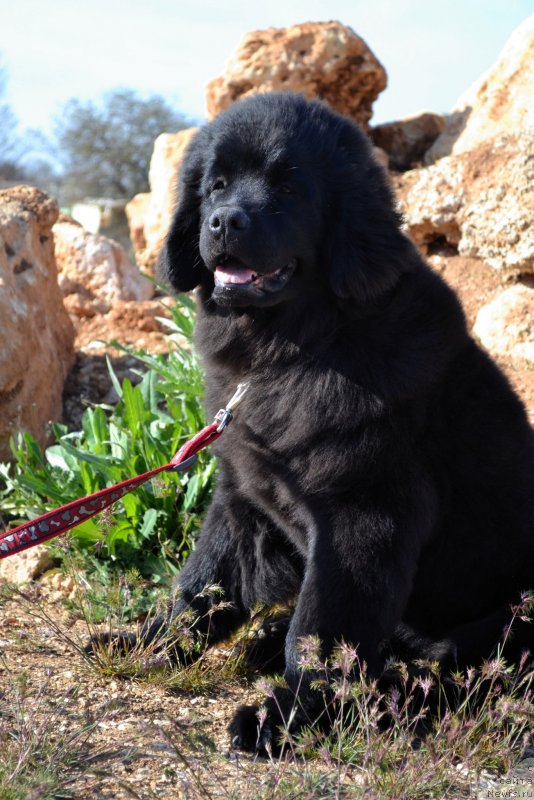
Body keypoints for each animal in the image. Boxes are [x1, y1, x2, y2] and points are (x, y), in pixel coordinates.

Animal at [153, 92, 532, 752]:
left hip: (507, 619)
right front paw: (146, 645)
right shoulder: (244, 494)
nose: (223, 221)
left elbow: (321, 632)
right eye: (215, 185)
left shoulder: (363, 514)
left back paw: (396, 700)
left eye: (287, 187)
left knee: (460, 675)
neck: (293, 349)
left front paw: (294, 715)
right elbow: (204, 582)